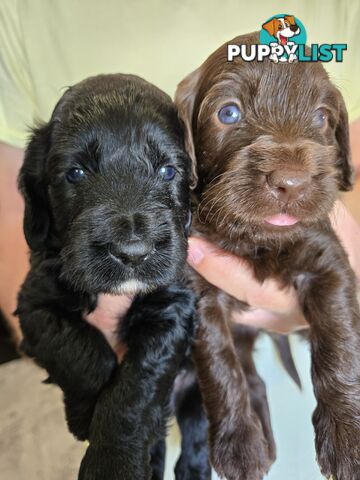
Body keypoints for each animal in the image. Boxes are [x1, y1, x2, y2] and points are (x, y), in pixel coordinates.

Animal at [15, 73, 197, 478]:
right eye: (76, 172)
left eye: (167, 171)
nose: (132, 252)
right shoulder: (35, 304)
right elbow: (82, 351)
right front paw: (84, 418)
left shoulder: (172, 307)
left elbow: (135, 388)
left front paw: (112, 462)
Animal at [175, 31, 360, 480]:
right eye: (228, 112)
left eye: (321, 118)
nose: (290, 182)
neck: (256, 239)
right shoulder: (200, 294)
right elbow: (220, 366)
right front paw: (237, 444)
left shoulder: (328, 263)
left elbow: (339, 339)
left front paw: (347, 434)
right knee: (249, 376)